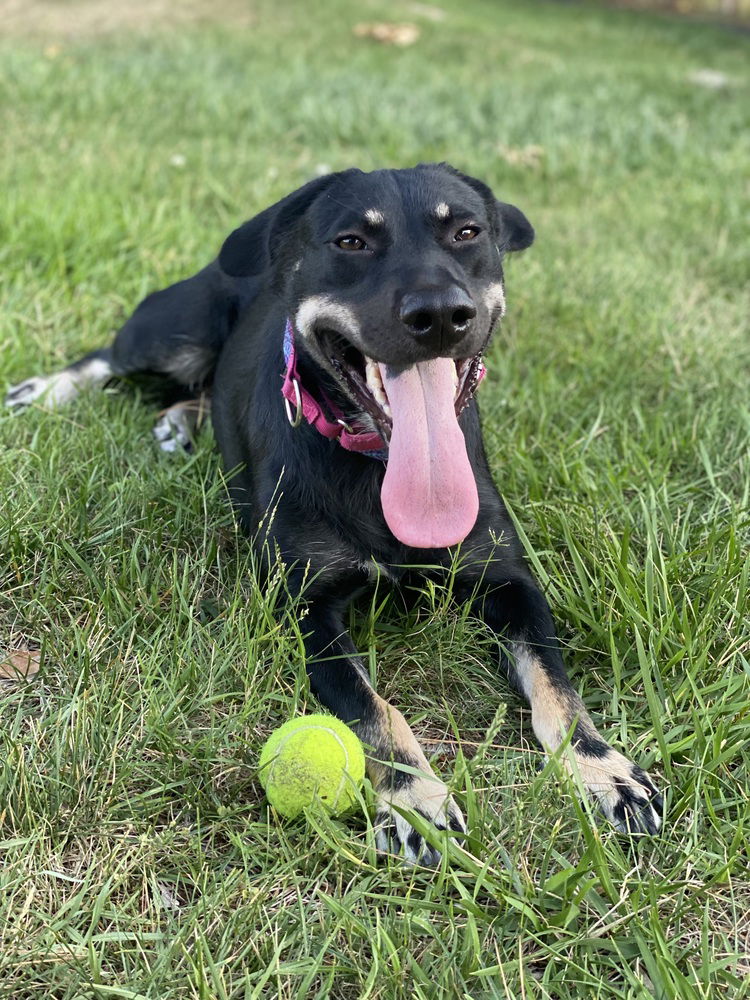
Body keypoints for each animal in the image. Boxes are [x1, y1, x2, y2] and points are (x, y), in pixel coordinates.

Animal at [5, 166, 664, 868]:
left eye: (466, 232)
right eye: (351, 241)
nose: (439, 315)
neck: (378, 466)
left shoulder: (508, 579)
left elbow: (555, 683)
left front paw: (601, 768)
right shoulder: (304, 604)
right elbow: (373, 709)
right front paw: (415, 797)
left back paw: (179, 421)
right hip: (176, 330)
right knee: (109, 357)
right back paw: (46, 392)